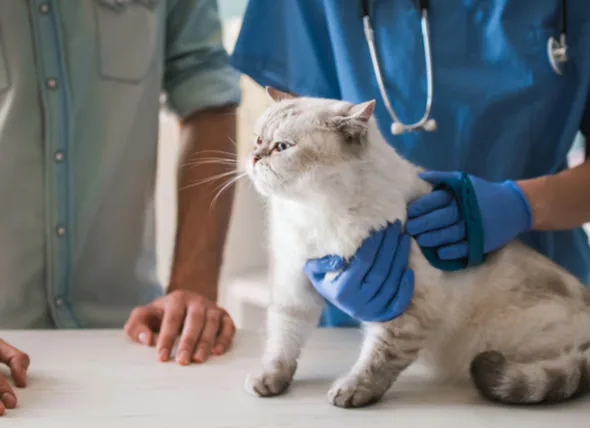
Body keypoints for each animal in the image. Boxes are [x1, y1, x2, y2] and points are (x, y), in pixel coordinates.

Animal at [240, 87, 590, 408]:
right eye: (258, 139)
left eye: (283, 147)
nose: (255, 157)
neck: (315, 210)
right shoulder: (295, 283)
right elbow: (283, 340)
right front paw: (269, 380)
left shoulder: (404, 305)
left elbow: (378, 359)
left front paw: (351, 392)